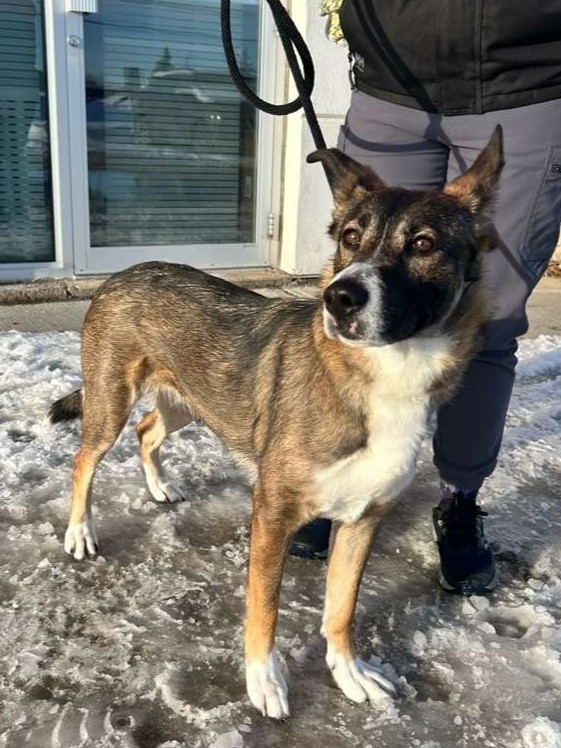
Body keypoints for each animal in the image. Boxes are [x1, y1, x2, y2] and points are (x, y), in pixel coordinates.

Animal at [49, 126, 503, 719]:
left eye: (423, 244)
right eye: (350, 238)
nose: (339, 297)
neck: (384, 373)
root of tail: (124, 273)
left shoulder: (362, 522)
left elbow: (341, 609)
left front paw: (348, 671)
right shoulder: (271, 515)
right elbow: (264, 608)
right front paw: (263, 680)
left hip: (191, 400)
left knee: (148, 431)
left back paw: (160, 487)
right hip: (111, 402)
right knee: (86, 456)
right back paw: (79, 531)